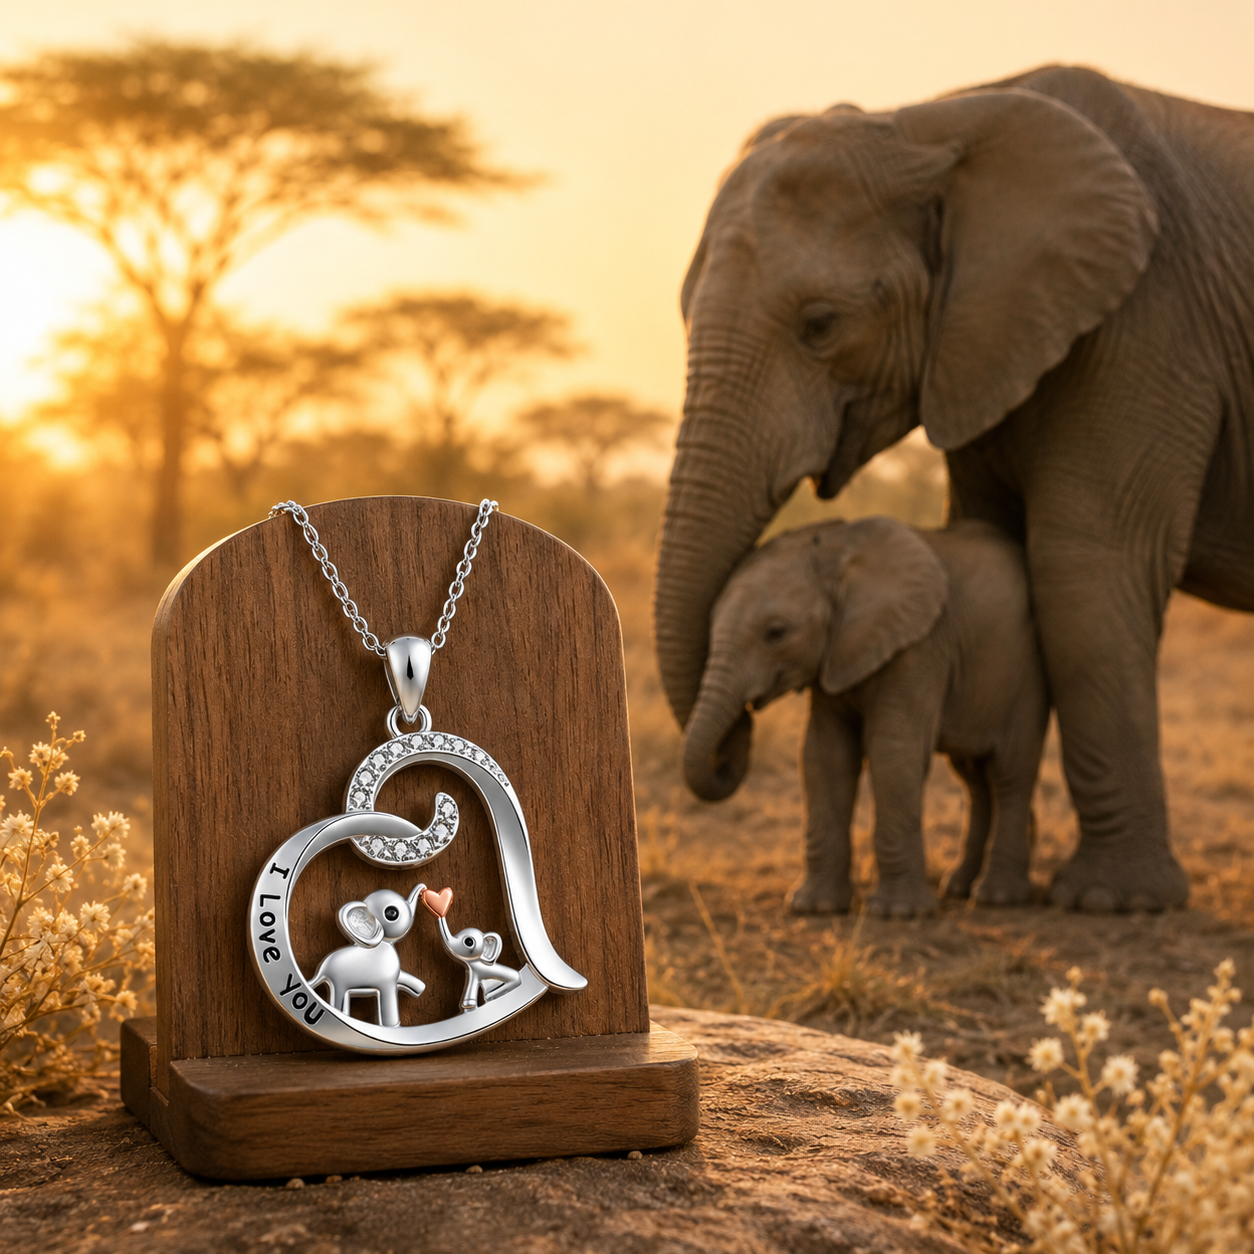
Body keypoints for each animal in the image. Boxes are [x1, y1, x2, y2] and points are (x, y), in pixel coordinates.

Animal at [309, 885, 427, 1027]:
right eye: (391, 913)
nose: (422, 888)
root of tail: (322, 970)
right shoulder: (386, 983)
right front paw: (393, 1026)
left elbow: (403, 977)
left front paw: (420, 988)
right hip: (338, 983)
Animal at [685, 516, 1048, 916]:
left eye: (775, 633)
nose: (726, 756)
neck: (838, 552)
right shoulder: (838, 653)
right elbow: (823, 755)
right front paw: (815, 907)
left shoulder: (921, 645)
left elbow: (892, 751)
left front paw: (898, 912)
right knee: (974, 777)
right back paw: (959, 887)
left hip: (1028, 679)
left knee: (1010, 772)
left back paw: (998, 897)